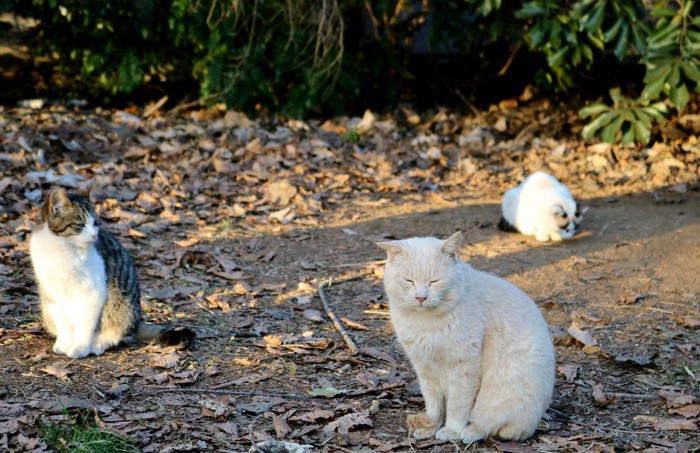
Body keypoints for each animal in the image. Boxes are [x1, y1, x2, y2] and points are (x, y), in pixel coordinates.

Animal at [29, 178, 194, 358]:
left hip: (123, 308)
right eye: (80, 225)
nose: (94, 235)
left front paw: (80, 348)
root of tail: (136, 321)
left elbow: (85, 326)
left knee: (119, 334)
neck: (63, 249)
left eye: (95, 223)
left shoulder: (92, 292)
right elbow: (63, 323)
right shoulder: (52, 294)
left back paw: (98, 344)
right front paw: (65, 343)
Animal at [380, 231, 556, 444]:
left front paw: (452, 431)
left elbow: (458, 405)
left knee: (494, 425)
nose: (421, 297)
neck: (424, 323)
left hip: (501, 394)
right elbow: (433, 401)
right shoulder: (424, 366)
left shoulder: (465, 367)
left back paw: (469, 432)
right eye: (408, 280)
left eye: (434, 281)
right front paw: (430, 425)